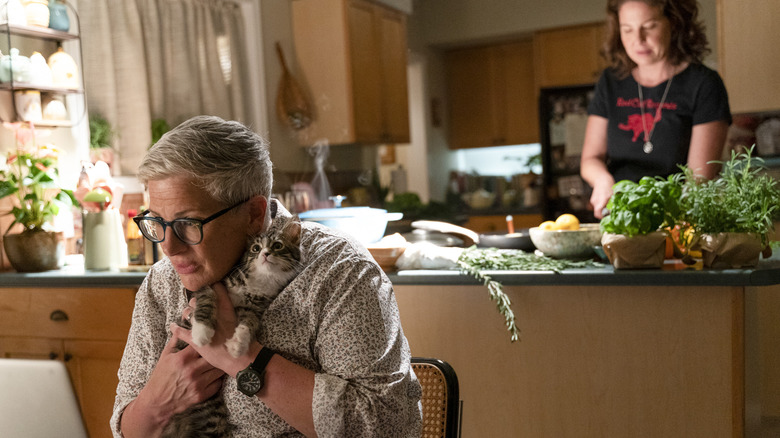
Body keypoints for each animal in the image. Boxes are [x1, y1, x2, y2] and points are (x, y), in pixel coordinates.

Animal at [160, 216, 304, 438]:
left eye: (278, 246)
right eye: (255, 248)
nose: (265, 254)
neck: (259, 281)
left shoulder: (254, 308)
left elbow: (249, 324)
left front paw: (238, 344)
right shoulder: (210, 286)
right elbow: (207, 301)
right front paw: (202, 332)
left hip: (212, 415)